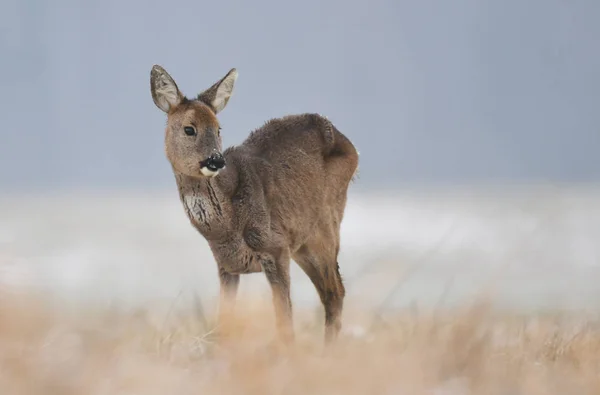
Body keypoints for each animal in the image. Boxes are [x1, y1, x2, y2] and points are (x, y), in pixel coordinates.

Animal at [150, 65, 358, 344]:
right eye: (189, 129)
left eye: (218, 128)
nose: (215, 160)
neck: (227, 226)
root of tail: (350, 144)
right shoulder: (227, 265)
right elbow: (224, 323)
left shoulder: (276, 248)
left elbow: (284, 324)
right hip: (303, 245)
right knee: (332, 292)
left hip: (325, 226)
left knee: (335, 291)